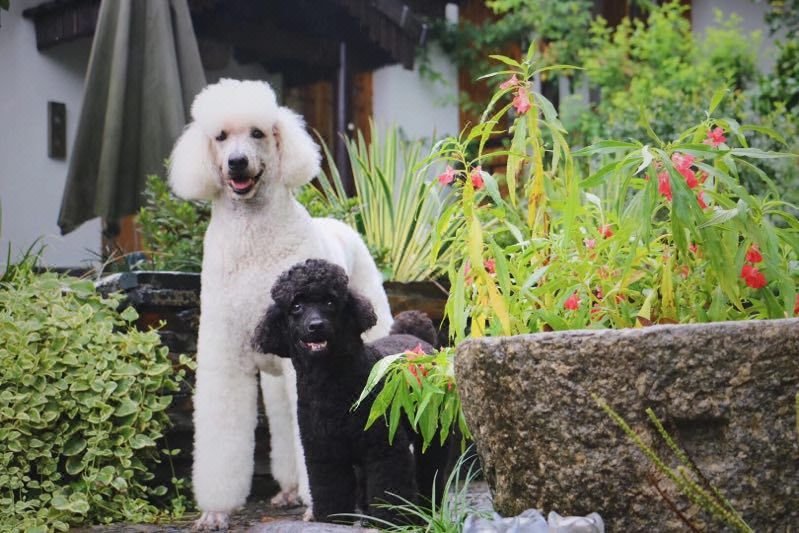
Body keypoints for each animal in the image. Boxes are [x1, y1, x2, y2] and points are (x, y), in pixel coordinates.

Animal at [167, 79, 393, 529]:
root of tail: (341, 224)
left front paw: (316, 505)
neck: (253, 241)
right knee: (284, 429)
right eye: (220, 137)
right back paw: (288, 490)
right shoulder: (226, 354)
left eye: (257, 133)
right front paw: (215, 512)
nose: (237, 163)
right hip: (275, 378)